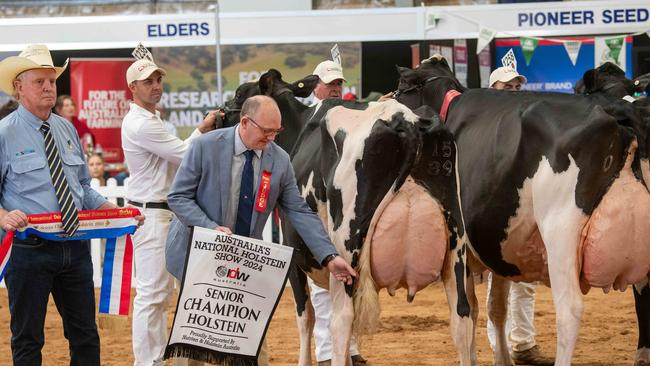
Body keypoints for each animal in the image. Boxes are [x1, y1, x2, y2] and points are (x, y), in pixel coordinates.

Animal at [225, 69, 474, 366]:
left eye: (240, 94)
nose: (222, 112)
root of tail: (405, 119)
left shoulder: (293, 254)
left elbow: (305, 318)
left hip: (346, 245)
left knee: (341, 320)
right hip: (456, 241)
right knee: (461, 317)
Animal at [394, 55, 648, 364]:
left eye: (402, 84)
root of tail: (616, 110)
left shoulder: (460, 244)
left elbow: (463, 318)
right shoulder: (499, 246)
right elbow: (495, 308)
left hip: (560, 231)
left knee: (569, 309)